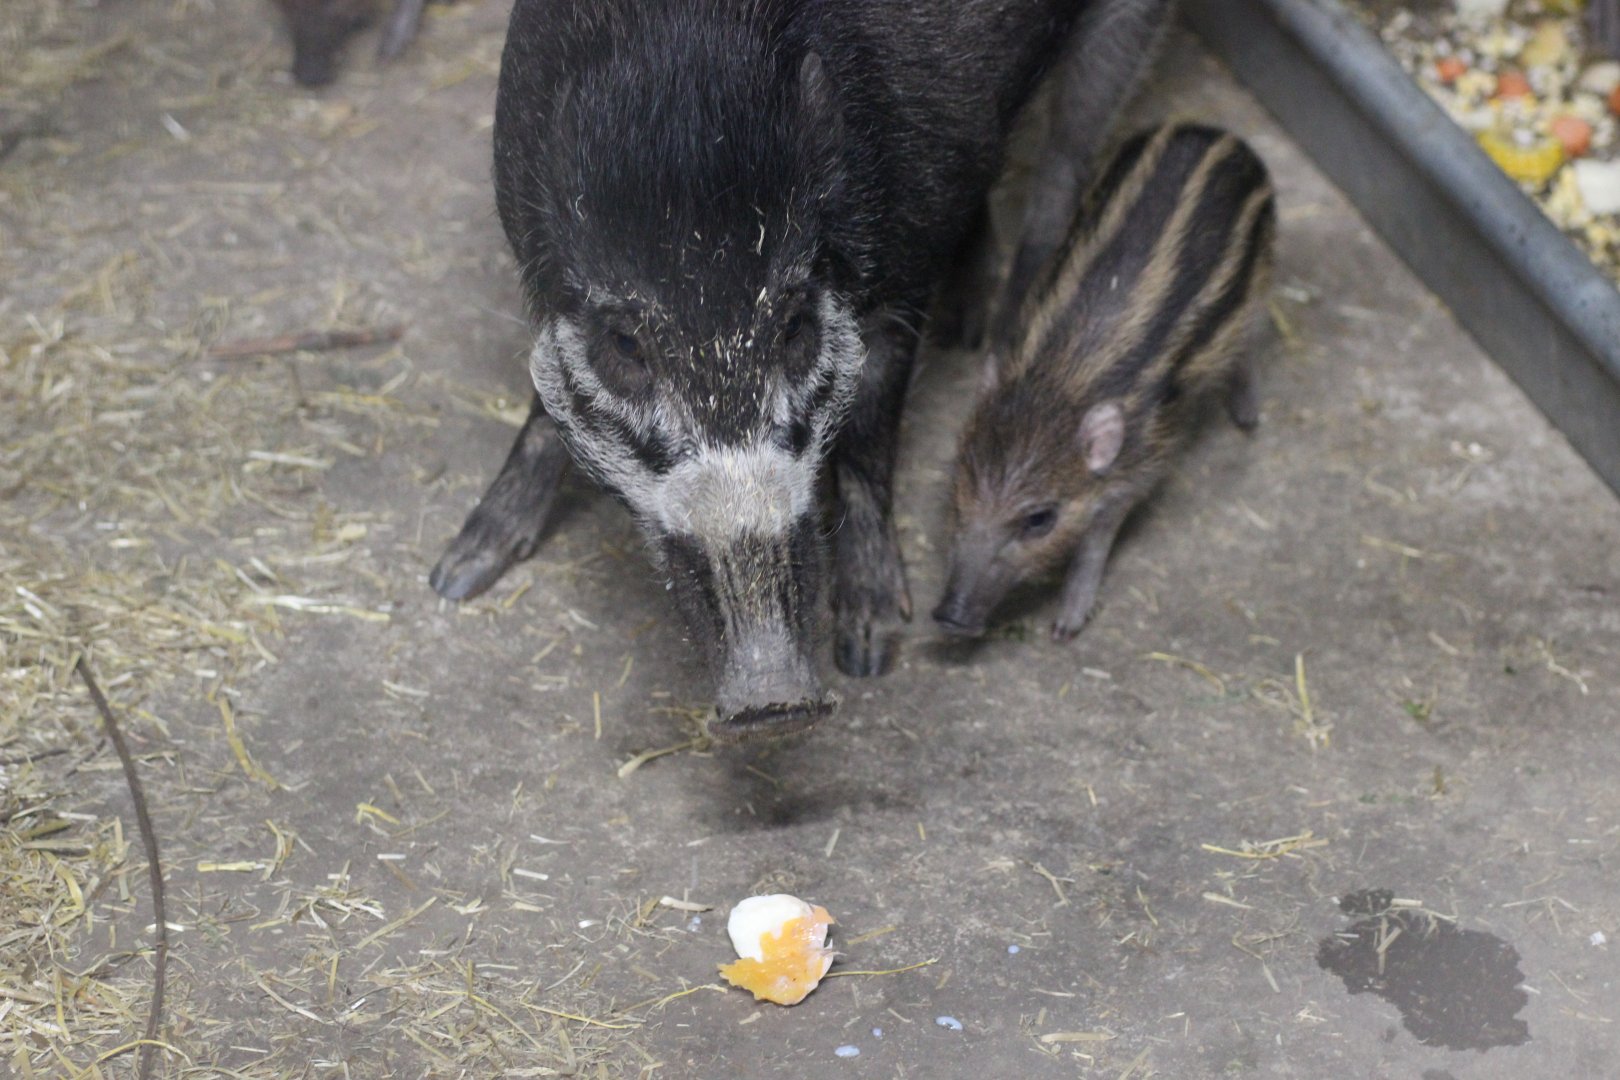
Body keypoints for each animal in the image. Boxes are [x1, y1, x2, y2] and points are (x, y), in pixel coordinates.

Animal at [430, 0, 1173, 740]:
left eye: (795, 328)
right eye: (624, 345)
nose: (774, 700)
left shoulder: (904, 265)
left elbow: (872, 425)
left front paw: (870, 651)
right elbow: (544, 395)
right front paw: (457, 574)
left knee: (1064, 169)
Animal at [934, 123, 1276, 642]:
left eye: (1039, 519)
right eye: (959, 488)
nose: (948, 616)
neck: (1059, 380)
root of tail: (1223, 135)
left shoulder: (1144, 457)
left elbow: (1101, 529)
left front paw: (1067, 625)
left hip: (1259, 274)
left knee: (1252, 332)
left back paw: (1249, 415)